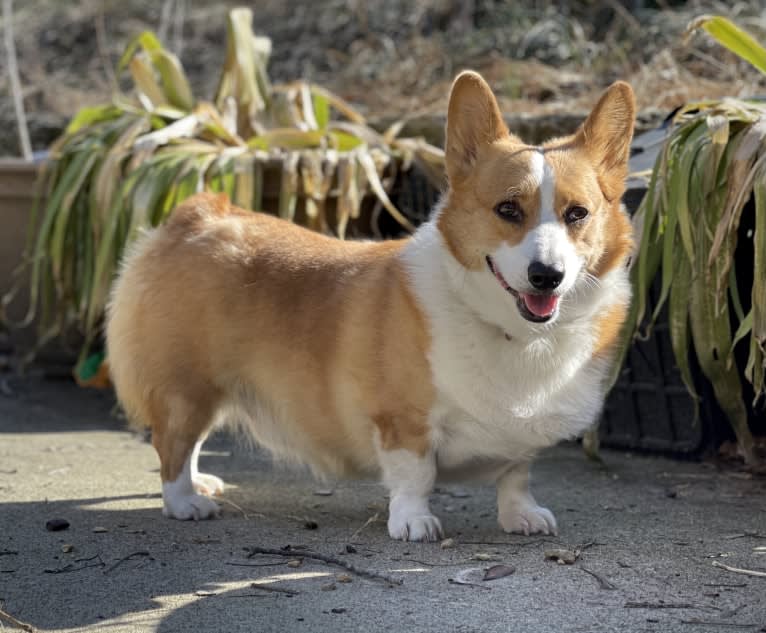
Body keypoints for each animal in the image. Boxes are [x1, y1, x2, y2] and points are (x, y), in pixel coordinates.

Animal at [106, 71, 636, 540]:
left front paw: (520, 515)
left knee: (190, 442)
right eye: (508, 209)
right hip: (188, 384)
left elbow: (516, 475)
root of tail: (196, 215)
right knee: (173, 442)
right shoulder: (402, 420)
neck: (516, 333)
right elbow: (415, 476)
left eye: (577, 214)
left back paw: (200, 483)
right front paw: (413, 522)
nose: (547, 275)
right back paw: (184, 500)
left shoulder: (520, 437)